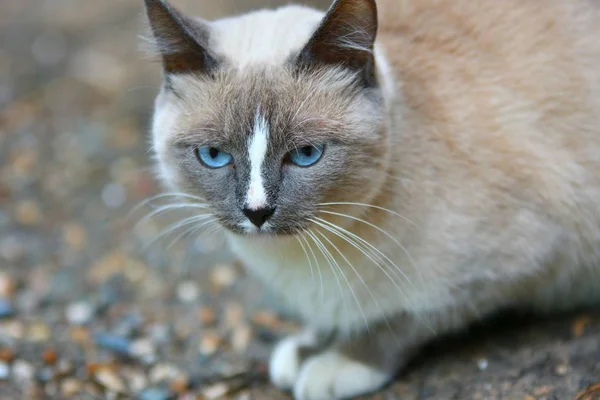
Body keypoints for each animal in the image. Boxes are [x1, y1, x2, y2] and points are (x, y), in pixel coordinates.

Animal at [143, 0, 600, 398]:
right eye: (214, 156)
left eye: (306, 155)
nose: (256, 213)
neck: (301, 259)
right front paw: (309, 347)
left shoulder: (515, 266)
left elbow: (398, 318)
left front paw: (337, 363)